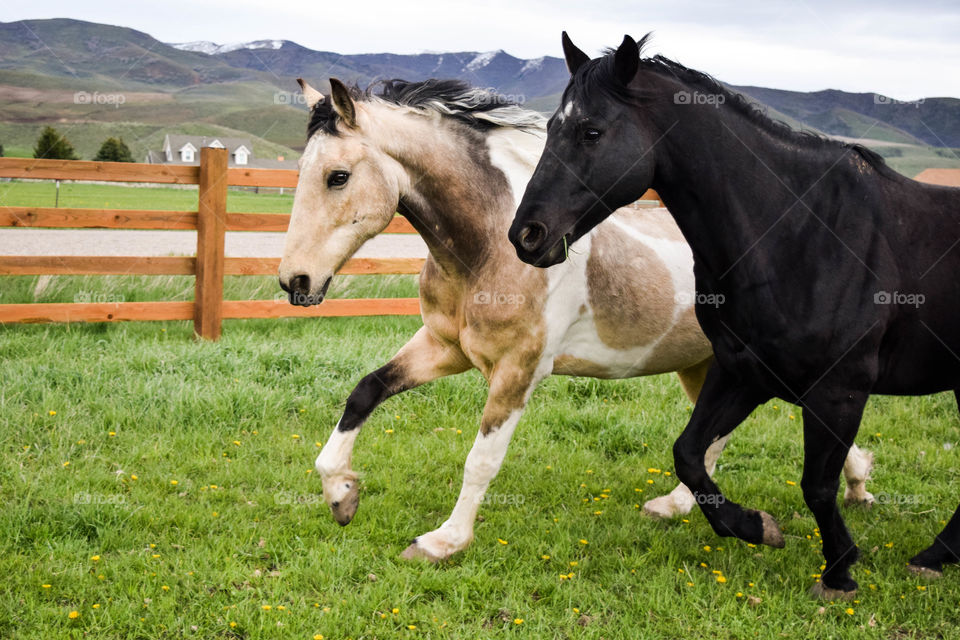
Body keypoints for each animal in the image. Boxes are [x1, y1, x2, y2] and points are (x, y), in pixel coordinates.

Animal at [282, 77, 872, 564]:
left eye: (337, 177)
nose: (295, 283)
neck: (491, 247)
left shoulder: (518, 371)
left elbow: (481, 460)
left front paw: (442, 542)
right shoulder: (444, 347)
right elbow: (365, 391)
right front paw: (341, 495)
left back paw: (850, 488)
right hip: (707, 368)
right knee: (715, 439)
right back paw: (687, 505)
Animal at [510, 33, 960, 596]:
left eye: (591, 131)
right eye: (551, 127)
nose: (526, 236)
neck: (801, 235)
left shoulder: (839, 392)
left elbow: (816, 485)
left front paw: (839, 570)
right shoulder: (743, 373)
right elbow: (688, 453)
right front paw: (754, 527)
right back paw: (936, 555)